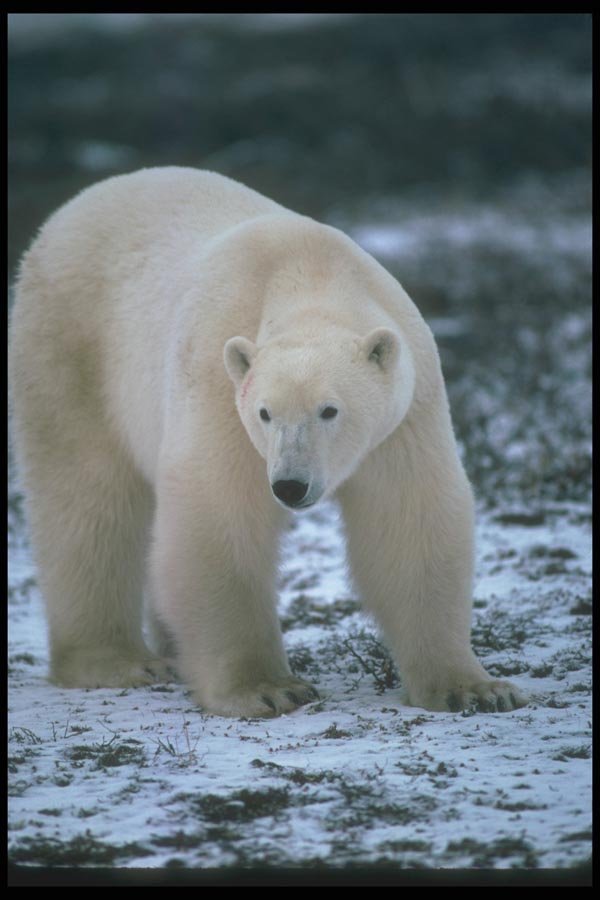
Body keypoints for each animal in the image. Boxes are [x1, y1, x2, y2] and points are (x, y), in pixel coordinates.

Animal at [9, 166, 526, 717]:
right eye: (265, 413)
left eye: (329, 409)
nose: (290, 486)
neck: (309, 271)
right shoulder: (220, 385)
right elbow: (219, 515)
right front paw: (267, 688)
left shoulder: (405, 412)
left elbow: (409, 520)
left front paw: (474, 689)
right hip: (73, 348)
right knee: (88, 499)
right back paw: (118, 661)